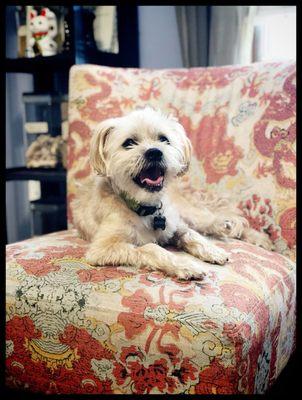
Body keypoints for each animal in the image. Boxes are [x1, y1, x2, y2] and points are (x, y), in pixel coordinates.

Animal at [72, 108, 272, 280]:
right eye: (128, 143)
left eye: (163, 139)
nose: (154, 152)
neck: (145, 207)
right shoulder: (103, 248)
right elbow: (151, 248)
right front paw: (186, 266)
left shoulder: (175, 223)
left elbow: (191, 234)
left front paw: (213, 251)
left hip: (190, 213)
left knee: (212, 221)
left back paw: (251, 235)